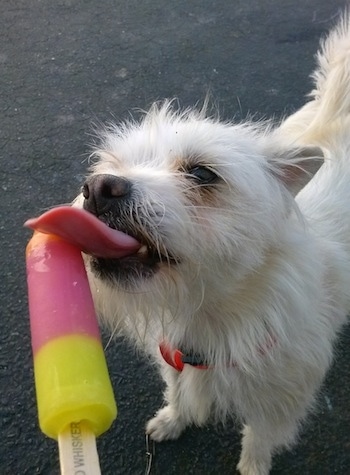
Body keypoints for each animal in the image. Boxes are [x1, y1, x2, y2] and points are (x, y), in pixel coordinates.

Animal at [75, 14, 350, 475]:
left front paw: (253, 466)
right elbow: (176, 387)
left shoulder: (279, 402)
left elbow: (259, 439)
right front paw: (172, 419)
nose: (97, 189)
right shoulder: (175, 353)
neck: (213, 314)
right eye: (109, 166)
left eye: (203, 174)